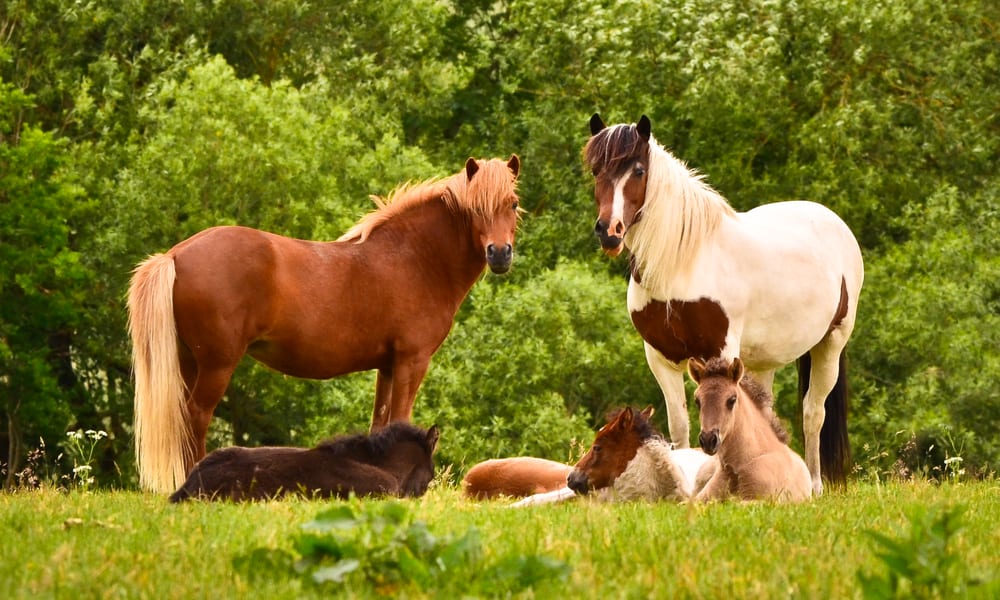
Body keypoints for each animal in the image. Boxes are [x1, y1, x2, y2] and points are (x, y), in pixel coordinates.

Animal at [131, 155, 524, 492]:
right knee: (196, 417)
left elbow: (381, 423)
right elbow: (401, 419)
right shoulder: (412, 361)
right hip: (217, 365)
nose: (499, 254)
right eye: (476, 208)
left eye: (513, 204)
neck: (414, 258)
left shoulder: (388, 366)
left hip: (188, 362)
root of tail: (175, 255)